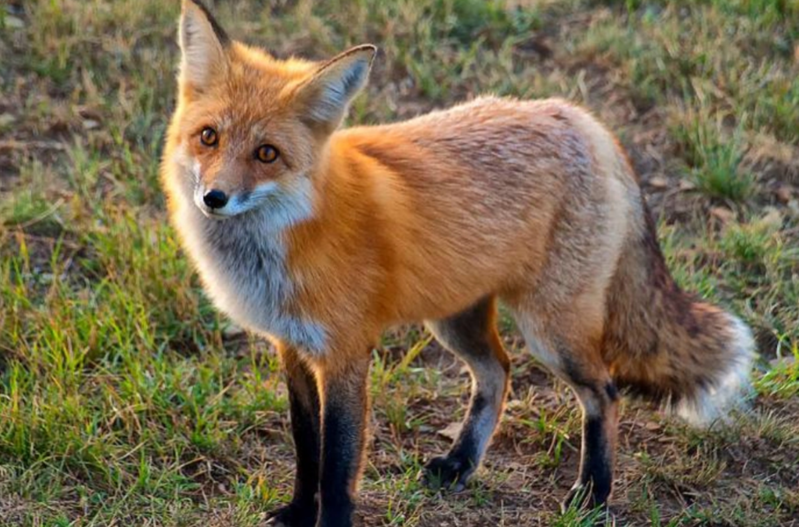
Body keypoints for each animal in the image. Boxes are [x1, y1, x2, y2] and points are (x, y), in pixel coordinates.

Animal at [161, 2, 756, 524]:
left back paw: (593, 494)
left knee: (604, 393)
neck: (290, 238)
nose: (213, 198)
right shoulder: (293, 350)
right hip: (453, 319)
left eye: (267, 154)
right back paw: (462, 462)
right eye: (209, 137)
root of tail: (580, 118)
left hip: (550, 331)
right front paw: (297, 512)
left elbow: (337, 466)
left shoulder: (346, 355)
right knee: (498, 372)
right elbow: (307, 452)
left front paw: (329, 520)